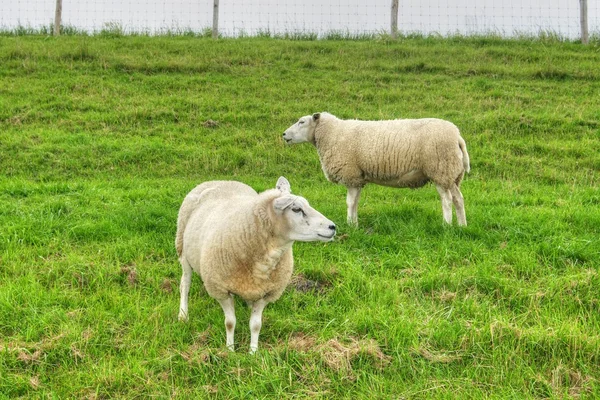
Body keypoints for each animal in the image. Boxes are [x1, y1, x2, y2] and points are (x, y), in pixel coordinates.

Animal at [176, 176, 338, 354]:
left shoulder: (267, 293)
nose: (333, 227)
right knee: (185, 284)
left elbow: (255, 325)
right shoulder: (220, 290)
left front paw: (253, 352)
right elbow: (230, 323)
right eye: (296, 209)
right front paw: (230, 350)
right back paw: (183, 314)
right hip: (182, 249)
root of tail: (220, 180)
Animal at [284, 111, 472, 227]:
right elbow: (355, 202)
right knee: (458, 199)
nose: (284, 135)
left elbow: (349, 202)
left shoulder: (351, 175)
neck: (332, 134)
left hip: (440, 170)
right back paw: (462, 225)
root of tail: (458, 136)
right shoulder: (358, 178)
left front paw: (350, 224)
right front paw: (355, 223)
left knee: (447, 200)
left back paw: (446, 225)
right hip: (452, 175)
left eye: (301, 122)